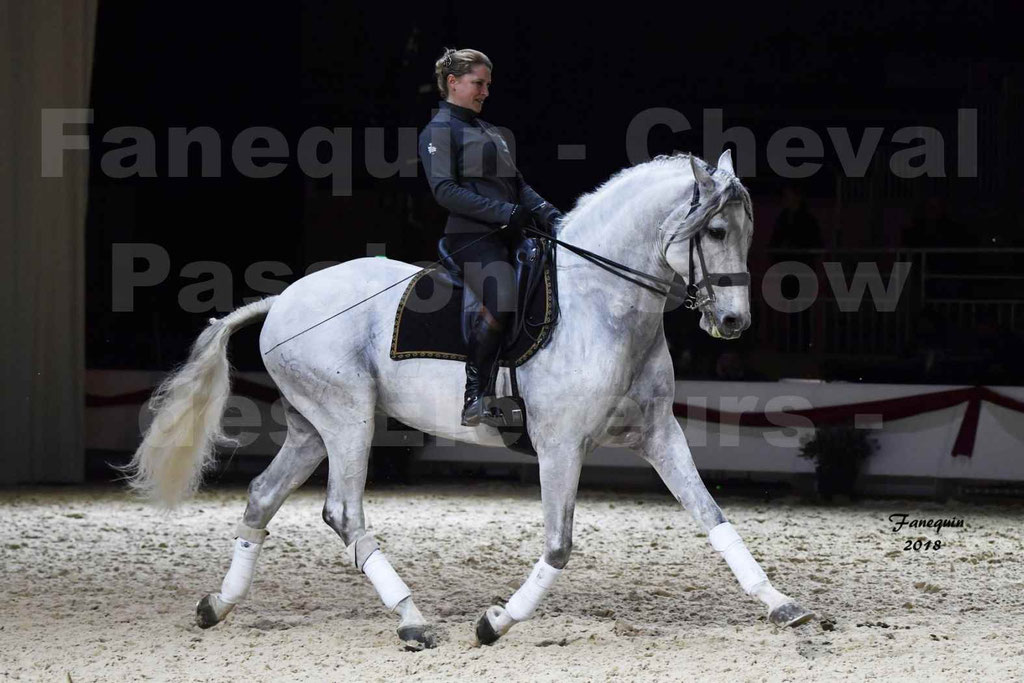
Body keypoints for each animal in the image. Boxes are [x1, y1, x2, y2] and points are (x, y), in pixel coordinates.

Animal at [123, 149, 813, 650]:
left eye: (748, 231)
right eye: (716, 230)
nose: (732, 322)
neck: (604, 305)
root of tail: (283, 300)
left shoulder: (659, 435)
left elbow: (713, 518)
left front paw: (782, 605)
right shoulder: (560, 445)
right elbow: (558, 546)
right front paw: (495, 622)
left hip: (310, 427)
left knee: (263, 497)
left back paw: (217, 606)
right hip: (348, 418)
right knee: (345, 513)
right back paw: (412, 620)